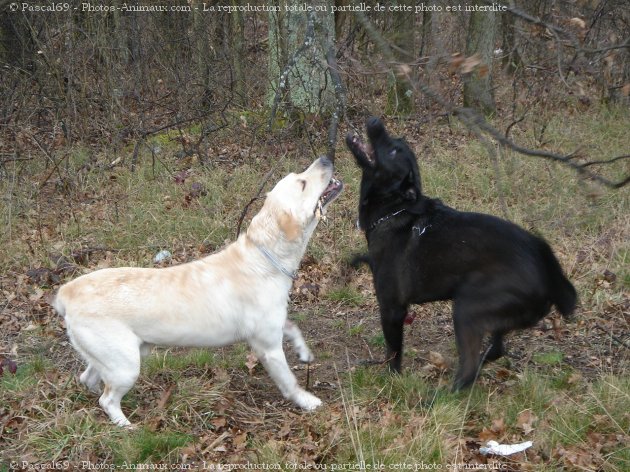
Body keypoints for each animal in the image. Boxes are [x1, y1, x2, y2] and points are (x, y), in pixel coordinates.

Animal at [54, 157, 344, 426]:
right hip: (126, 364)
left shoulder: (274, 324)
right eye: (303, 183)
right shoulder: (268, 346)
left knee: (89, 379)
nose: (326, 158)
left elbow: (294, 328)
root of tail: (67, 292)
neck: (264, 257)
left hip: (117, 356)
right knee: (108, 399)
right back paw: (126, 426)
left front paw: (304, 353)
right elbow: (290, 382)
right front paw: (307, 401)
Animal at [348, 118, 580, 390]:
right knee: (495, 350)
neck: (394, 209)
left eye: (394, 151)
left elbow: (393, 352)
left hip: (467, 309)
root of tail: (548, 269)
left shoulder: (392, 308)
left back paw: (443, 395)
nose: (375, 121)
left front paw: (391, 381)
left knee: (469, 368)